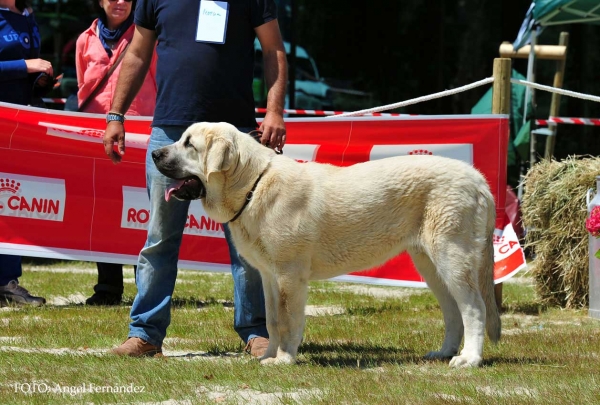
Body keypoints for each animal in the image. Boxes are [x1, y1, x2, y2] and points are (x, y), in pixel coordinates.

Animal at [152, 120, 500, 366]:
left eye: (189, 144)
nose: (155, 153)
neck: (254, 184)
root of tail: (479, 179)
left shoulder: (289, 275)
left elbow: (288, 318)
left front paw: (284, 359)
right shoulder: (269, 276)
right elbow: (273, 319)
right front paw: (268, 356)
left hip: (452, 257)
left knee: (474, 307)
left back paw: (469, 359)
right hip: (430, 264)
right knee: (453, 310)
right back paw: (444, 353)